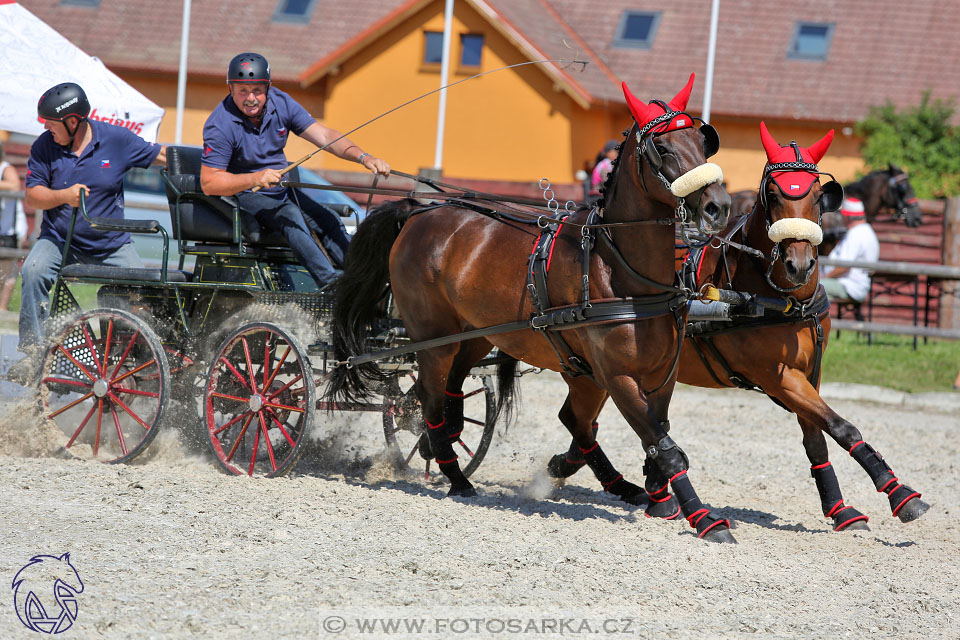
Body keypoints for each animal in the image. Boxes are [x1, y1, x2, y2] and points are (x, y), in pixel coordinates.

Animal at [328, 76, 736, 544]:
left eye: (703, 143)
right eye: (663, 148)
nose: (718, 206)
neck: (619, 268)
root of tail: (418, 211)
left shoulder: (660, 374)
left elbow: (658, 436)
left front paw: (658, 497)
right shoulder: (618, 376)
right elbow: (665, 448)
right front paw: (704, 518)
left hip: (477, 335)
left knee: (456, 393)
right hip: (434, 340)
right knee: (428, 403)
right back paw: (456, 478)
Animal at [548, 122, 928, 532]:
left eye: (816, 196)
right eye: (774, 195)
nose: (799, 264)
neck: (781, 297)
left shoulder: (810, 371)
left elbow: (817, 436)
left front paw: (839, 507)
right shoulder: (778, 376)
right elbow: (841, 426)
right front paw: (898, 492)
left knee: (579, 420)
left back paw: (589, 469)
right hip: (600, 369)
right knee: (577, 418)